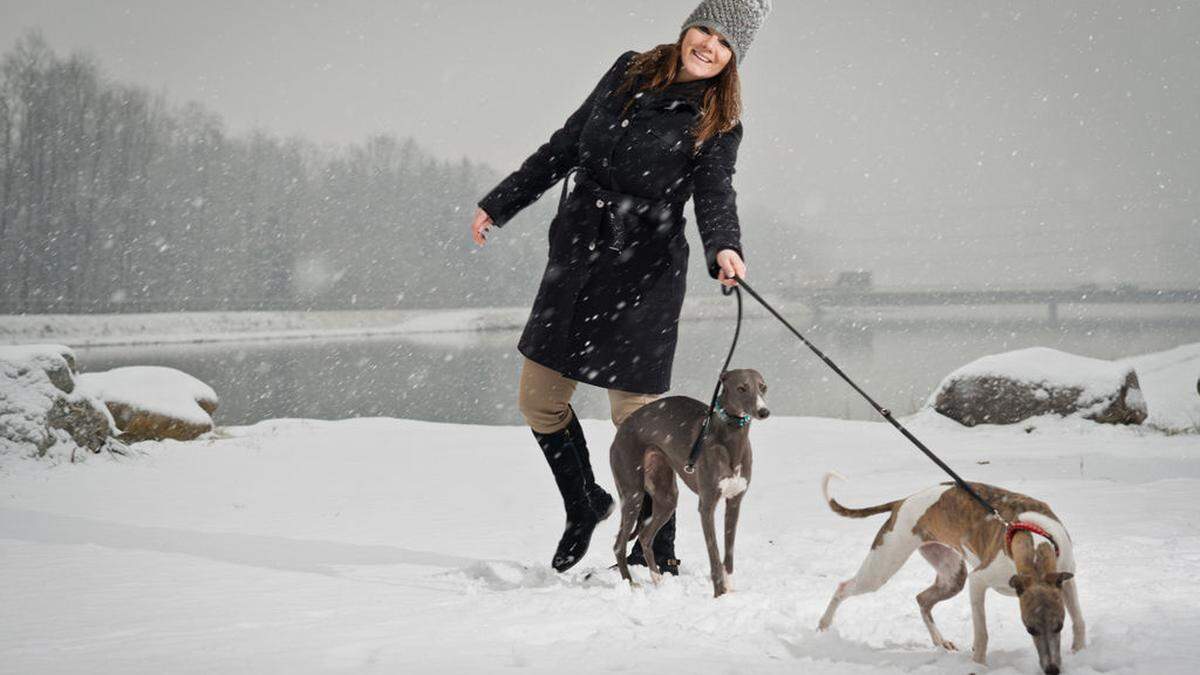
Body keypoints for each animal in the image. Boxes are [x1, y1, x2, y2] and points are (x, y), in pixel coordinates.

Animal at [609, 367, 768, 593]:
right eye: (741, 388)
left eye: (763, 387)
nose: (764, 411)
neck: (730, 442)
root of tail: (622, 429)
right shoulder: (707, 505)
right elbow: (714, 554)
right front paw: (719, 594)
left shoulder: (734, 502)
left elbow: (728, 553)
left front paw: (729, 589)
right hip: (633, 493)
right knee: (619, 544)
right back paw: (630, 584)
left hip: (666, 497)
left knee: (645, 536)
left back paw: (658, 580)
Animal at [820, 473, 1084, 672]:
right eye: (1029, 628)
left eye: (1059, 626)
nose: (1052, 670)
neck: (1032, 540)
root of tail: (902, 501)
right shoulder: (978, 580)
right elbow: (982, 633)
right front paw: (978, 665)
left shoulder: (1066, 579)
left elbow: (1078, 619)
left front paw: (1079, 652)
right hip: (882, 566)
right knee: (843, 587)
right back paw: (823, 628)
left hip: (952, 575)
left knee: (922, 599)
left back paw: (940, 641)